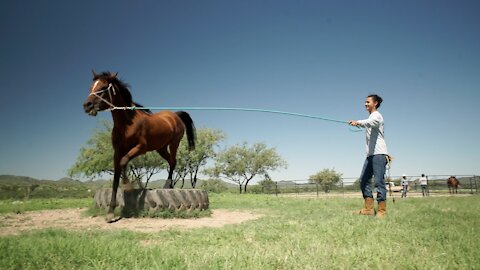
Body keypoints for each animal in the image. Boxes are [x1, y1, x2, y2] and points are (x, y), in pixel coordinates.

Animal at [83, 71, 195, 221]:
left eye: (104, 87)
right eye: (91, 86)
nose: (87, 105)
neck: (127, 124)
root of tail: (174, 115)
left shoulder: (141, 148)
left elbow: (124, 162)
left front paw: (128, 185)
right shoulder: (117, 152)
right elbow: (116, 177)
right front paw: (110, 212)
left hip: (174, 143)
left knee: (173, 162)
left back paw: (167, 185)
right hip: (161, 148)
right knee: (171, 161)